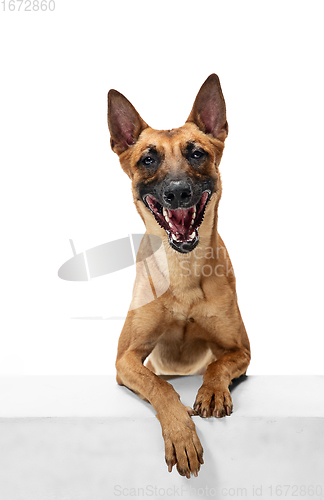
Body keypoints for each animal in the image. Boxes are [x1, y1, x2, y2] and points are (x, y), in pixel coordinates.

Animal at [107, 74, 249, 476]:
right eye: (148, 159)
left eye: (196, 153)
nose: (177, 192)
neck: (182, 272)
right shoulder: (126, 359)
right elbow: (160, 386)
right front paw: (182, 435)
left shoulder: (240, 349)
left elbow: (217, 364)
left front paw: (212, 391)